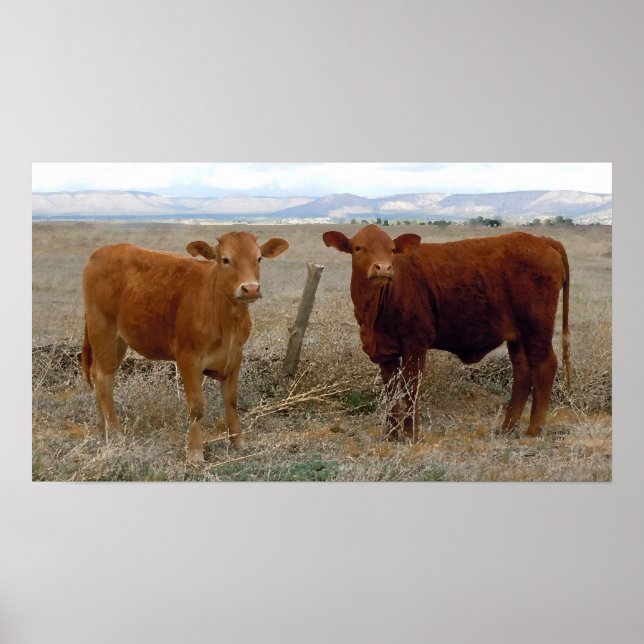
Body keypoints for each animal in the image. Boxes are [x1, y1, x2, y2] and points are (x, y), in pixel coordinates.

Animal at [81, 232, 289, 463]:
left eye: (259, 258)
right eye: (225, 259)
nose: (250, 288)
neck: (226, 322)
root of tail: (99, 253)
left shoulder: (235, 356)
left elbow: (231, 400)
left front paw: (238, 442)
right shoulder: (188, 359)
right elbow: (197, 407)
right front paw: (195, 452)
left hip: (118, 341)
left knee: (99, 374)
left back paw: (103, 429)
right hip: (103, 331)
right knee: (104, 380)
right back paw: (115, 432)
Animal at [322, 224, 570, 441]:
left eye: (391, 249)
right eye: (358, 248)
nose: (383, 268)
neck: (374, 313)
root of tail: (543, 240)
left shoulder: (415, 343)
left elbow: (411, 387)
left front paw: (410, 435)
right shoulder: (385, 351)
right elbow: (391, 392)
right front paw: (391, 435)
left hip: (536, 329)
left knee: (545, 366)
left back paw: (533, 429)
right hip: (517, 337)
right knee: (522, 373)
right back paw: (506, 428)